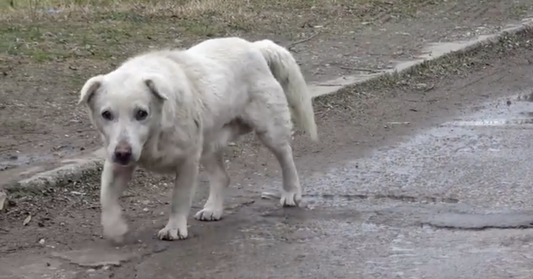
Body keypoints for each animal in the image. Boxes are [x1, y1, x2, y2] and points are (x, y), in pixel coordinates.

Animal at [78, 37, 316, 243]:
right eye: (106, 114)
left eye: (142, 113)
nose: (123, 153)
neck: (156, 134)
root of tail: (255, 47)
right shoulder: (115, 162)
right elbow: (106, 198)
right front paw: (114, 228)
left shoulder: (187, 163)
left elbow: (179, 199)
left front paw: (174, 228)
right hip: (209, 145)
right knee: (222, 177)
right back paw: (213, 209)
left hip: (270, 131)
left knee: (287, 158)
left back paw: (291, 192)